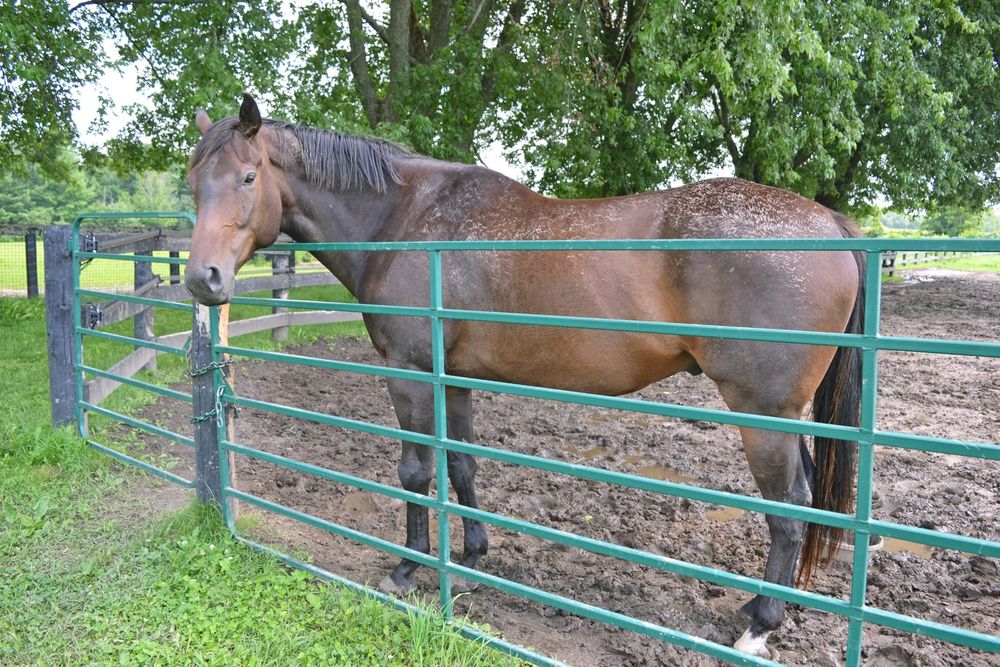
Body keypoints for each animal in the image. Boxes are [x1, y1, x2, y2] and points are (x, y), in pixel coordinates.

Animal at [185, 94, 863, 659]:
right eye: (194, 184)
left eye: (248, 177)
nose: (202, 280)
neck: (404, 219)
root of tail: (828, 222)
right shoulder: (453, 377)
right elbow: (460, 463)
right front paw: (473, 555)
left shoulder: (408, 373)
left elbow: (415, 470)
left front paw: (407, 568)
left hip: (763, 413)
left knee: (790, 507)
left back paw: (761, 625)